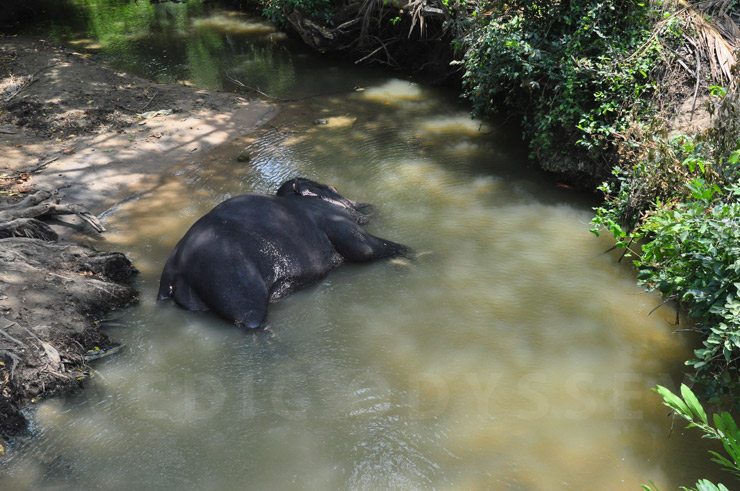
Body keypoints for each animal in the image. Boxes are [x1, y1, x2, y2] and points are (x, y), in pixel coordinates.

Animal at [157, 178, 411, 328]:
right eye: (333, 188)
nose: (371, 206)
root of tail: (172, 269)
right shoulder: (334, 222)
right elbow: (363, 249)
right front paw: (417, 254)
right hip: (232, 280)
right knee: (251, 321)